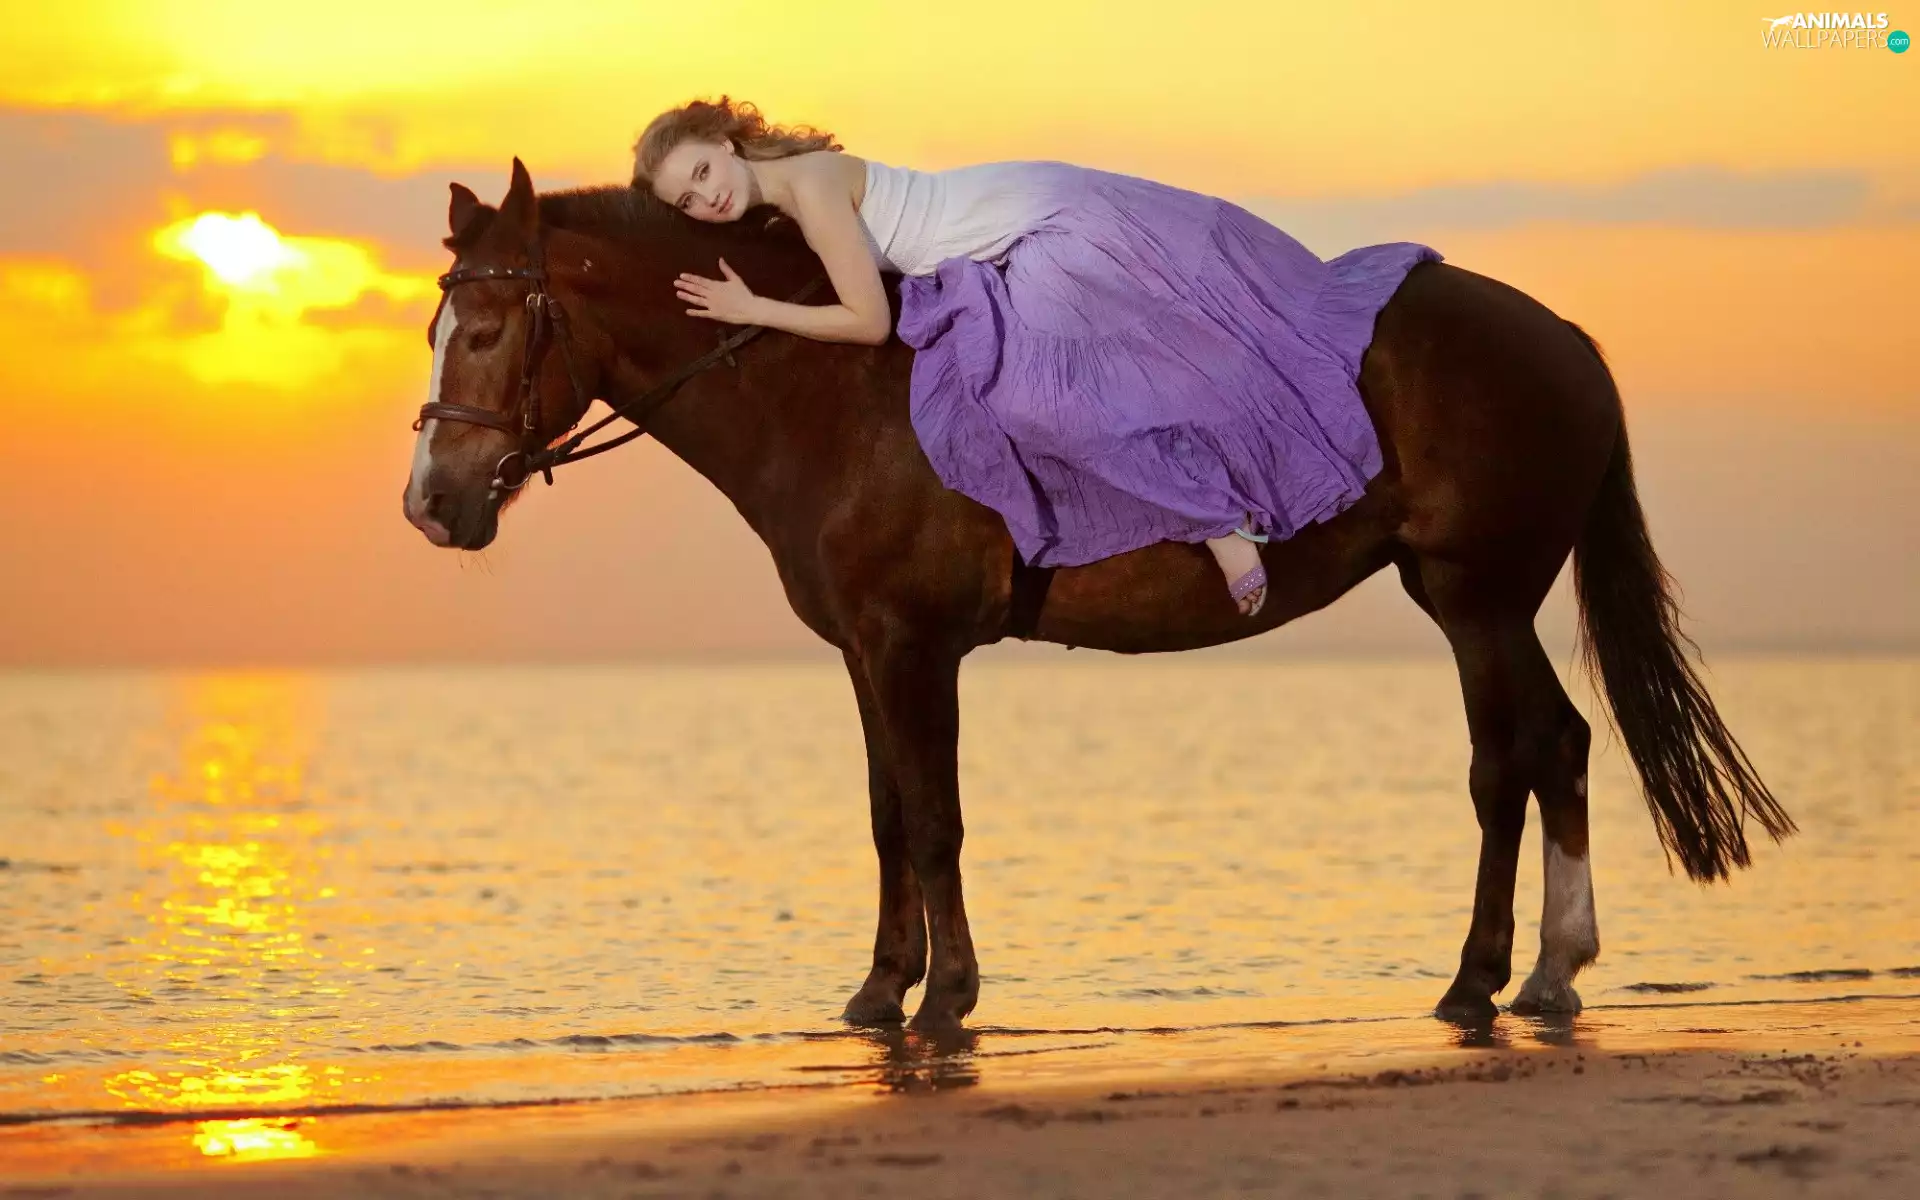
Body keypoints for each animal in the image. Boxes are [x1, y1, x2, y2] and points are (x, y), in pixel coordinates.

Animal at [402, 160, 1793, 1029]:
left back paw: (1496, 977)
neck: (831, 388)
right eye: (436, 326)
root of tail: (1567, 340)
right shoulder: (865, 651)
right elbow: (888, 821)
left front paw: (947, 999)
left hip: (1477, 597)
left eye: (489, 329)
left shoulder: (915, 648)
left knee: (1515, 761)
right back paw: (1530, 975)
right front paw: (879, 995)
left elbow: (937, 822)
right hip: (1472, 599)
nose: (431, 502)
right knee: (1545, 749)